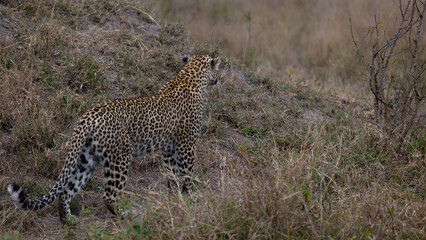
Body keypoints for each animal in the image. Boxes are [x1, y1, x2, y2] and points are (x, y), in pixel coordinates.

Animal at [6, 54, 221, 223]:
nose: (220, 79)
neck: (190, 76)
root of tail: (86, 117)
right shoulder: (187, 145)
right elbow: (187, 174)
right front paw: (189, 198)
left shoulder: (169, 150)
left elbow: (173, 176)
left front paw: (176, 198)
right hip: (120, 157)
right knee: (109, 195)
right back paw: (126, 215)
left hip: (85, 160)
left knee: (67, 190)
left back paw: (68, 220)